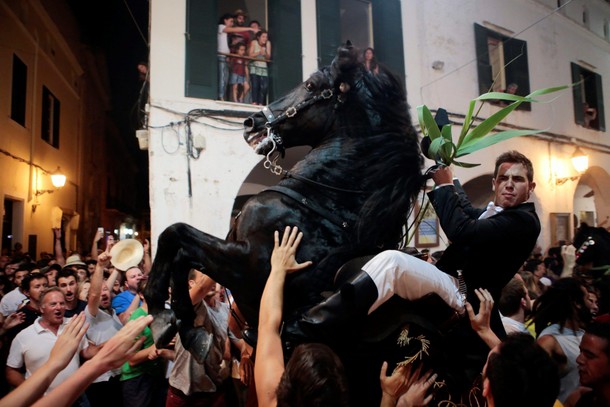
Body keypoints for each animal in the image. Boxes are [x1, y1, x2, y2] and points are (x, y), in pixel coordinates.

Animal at [145, 43, 426, 364]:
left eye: (311, 85)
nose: (250, 122)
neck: (321, 201)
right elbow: (180, 251)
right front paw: (185, 324)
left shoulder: (246, 265)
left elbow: (174, 233)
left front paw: (159, 313)